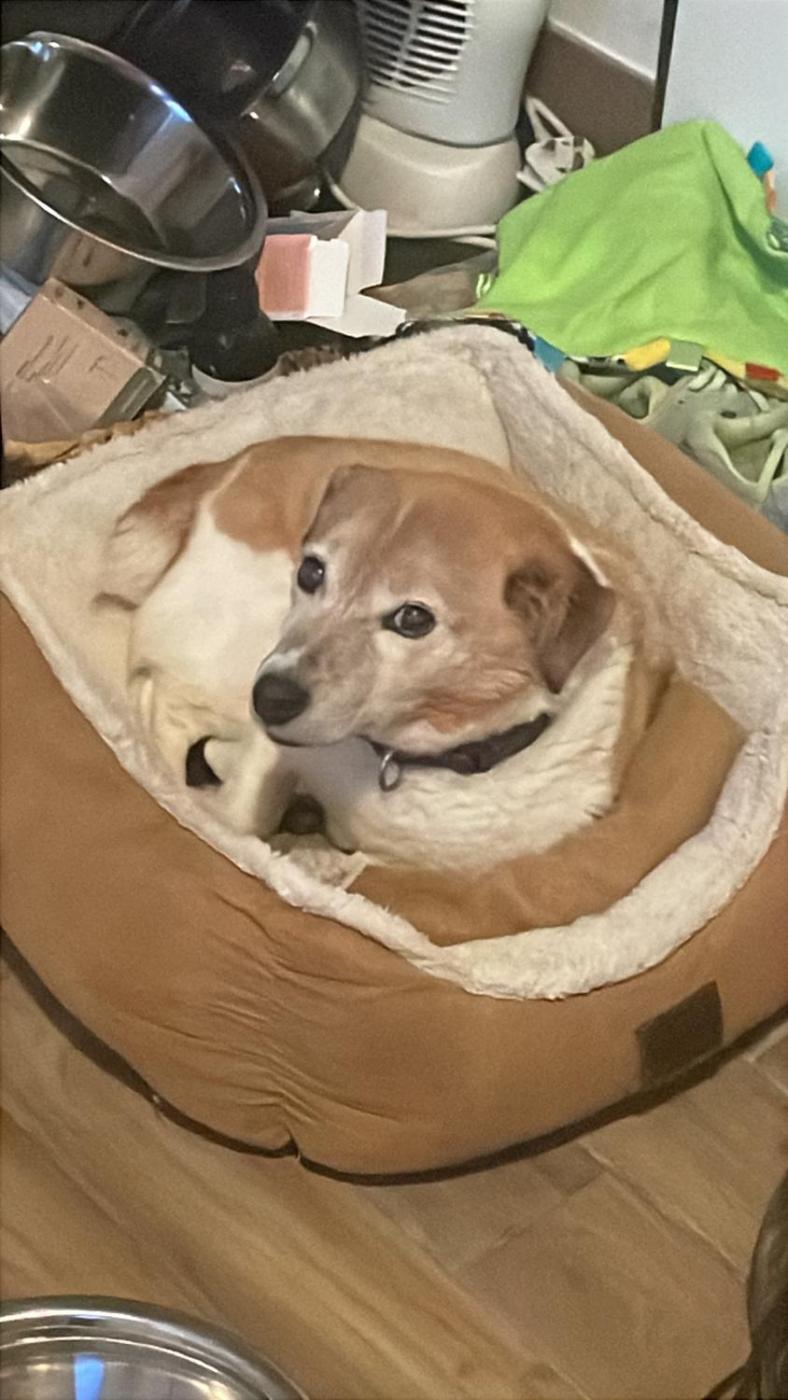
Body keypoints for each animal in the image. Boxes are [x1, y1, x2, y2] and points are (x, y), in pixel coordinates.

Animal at [100, 436, 655, 871]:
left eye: (413, 619)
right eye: (312, 572)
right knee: (157, 700)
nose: (271, 698)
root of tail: (227, 467)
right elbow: (241, 816)